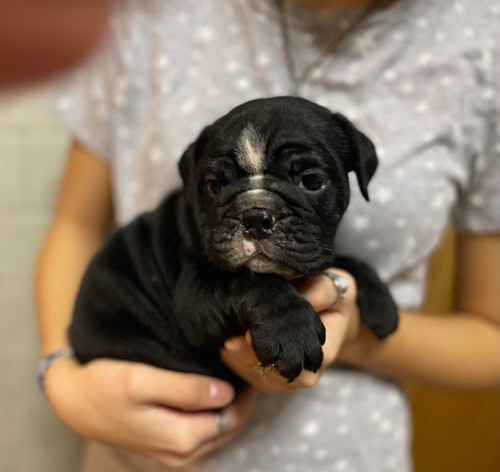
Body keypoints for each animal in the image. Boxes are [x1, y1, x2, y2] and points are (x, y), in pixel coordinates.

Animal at [70, 96, 398, 388]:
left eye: (313, 182)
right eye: (216, 185)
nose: (255, 215)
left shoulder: (314, 248)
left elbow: (342, 259)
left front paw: (380, 299)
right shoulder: (196, 295)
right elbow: (251, 282)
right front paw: (291, 330)